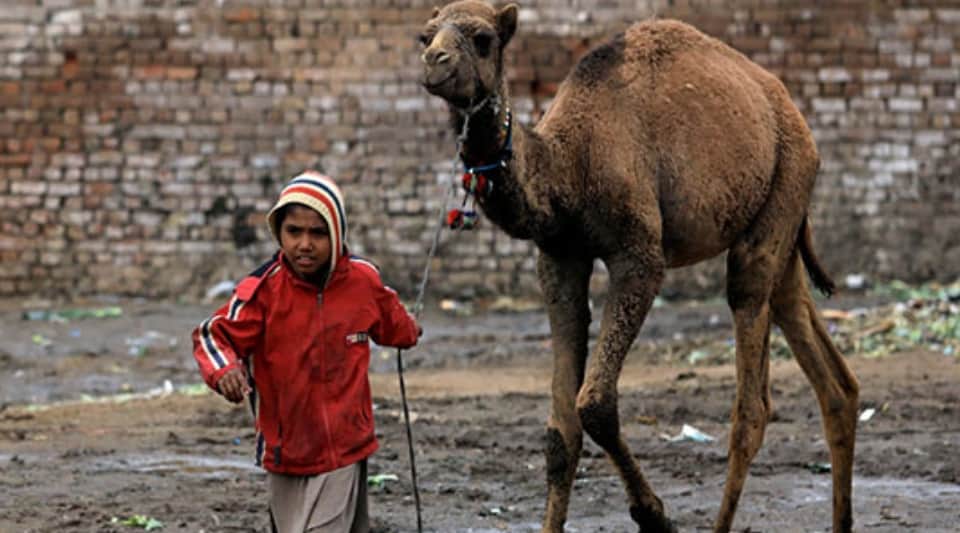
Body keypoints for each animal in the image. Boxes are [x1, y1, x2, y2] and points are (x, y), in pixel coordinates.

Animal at [417, 2, 860, 531]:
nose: (433, 61)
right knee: (824, 362)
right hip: (784, 221)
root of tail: (791, 110)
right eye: (423, 34)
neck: (568, 165)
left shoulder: (639, 256)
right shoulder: (559, 257)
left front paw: (654, 516)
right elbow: (560, 431)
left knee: (752, 395)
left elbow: (594, 404)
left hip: (784, 184)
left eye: (483, 39)